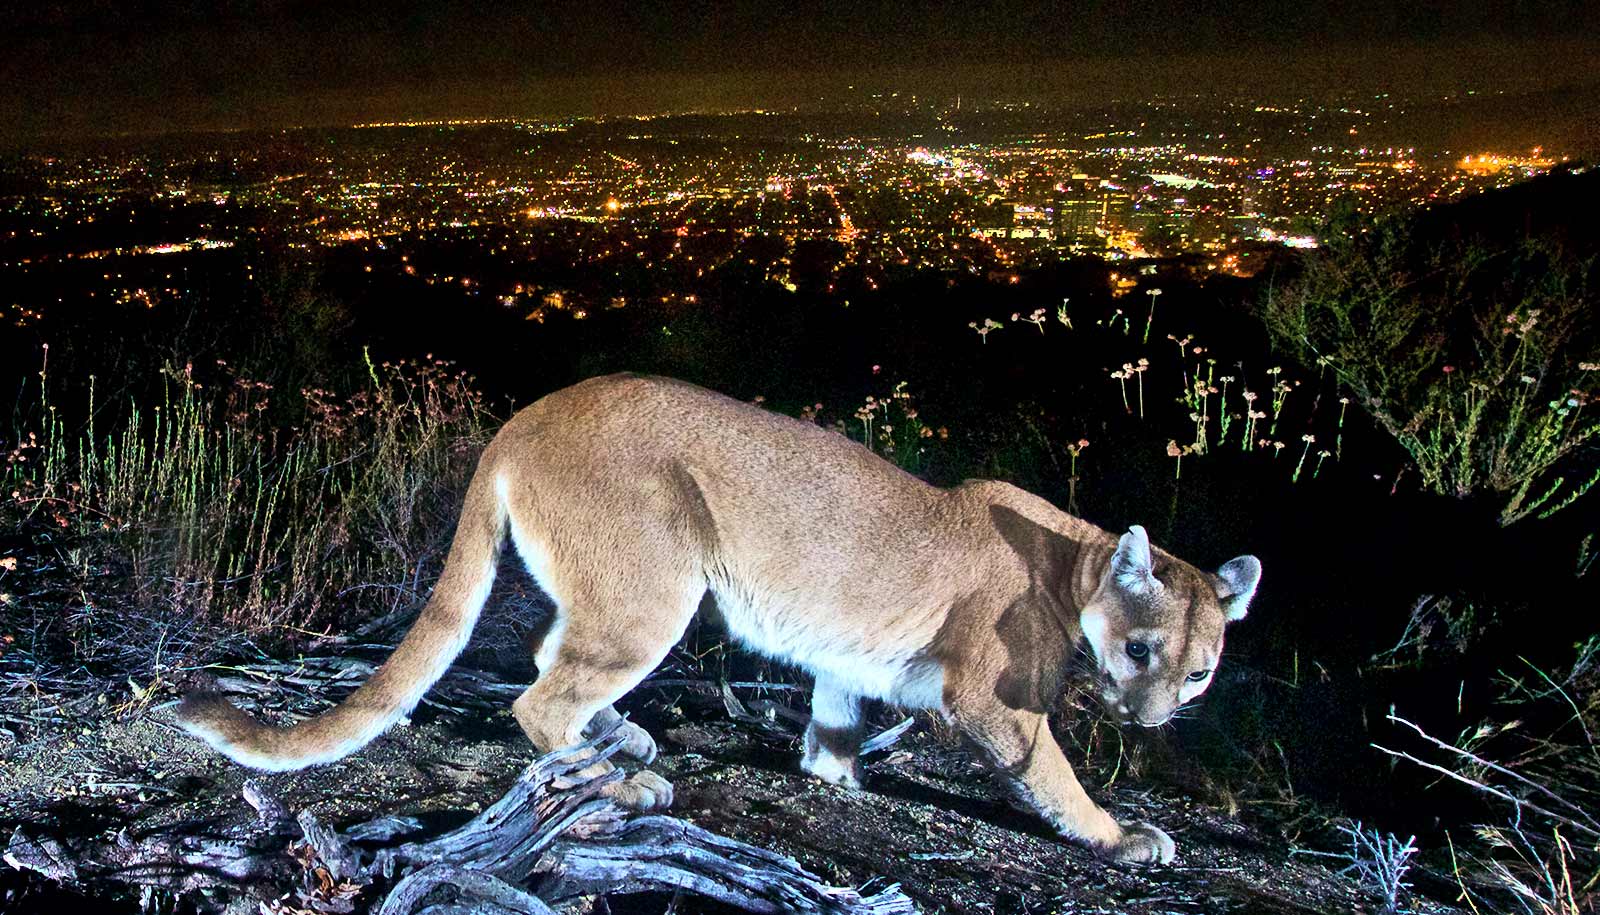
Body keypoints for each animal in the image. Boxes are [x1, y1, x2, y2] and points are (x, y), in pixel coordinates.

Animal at [178, 367, 1260, 863]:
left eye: (1198, 669)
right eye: (1141, 649)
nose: (1154, 717)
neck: (1076, 561)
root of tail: (526, 414)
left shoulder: (849, 658)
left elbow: (835, 717)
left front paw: (834, 774)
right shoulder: (995, 698)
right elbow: (1051, 771)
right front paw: (1120, 836)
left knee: (548, 654)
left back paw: (622, 740)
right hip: (659, 584)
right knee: (541, 695)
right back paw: (618, 780)